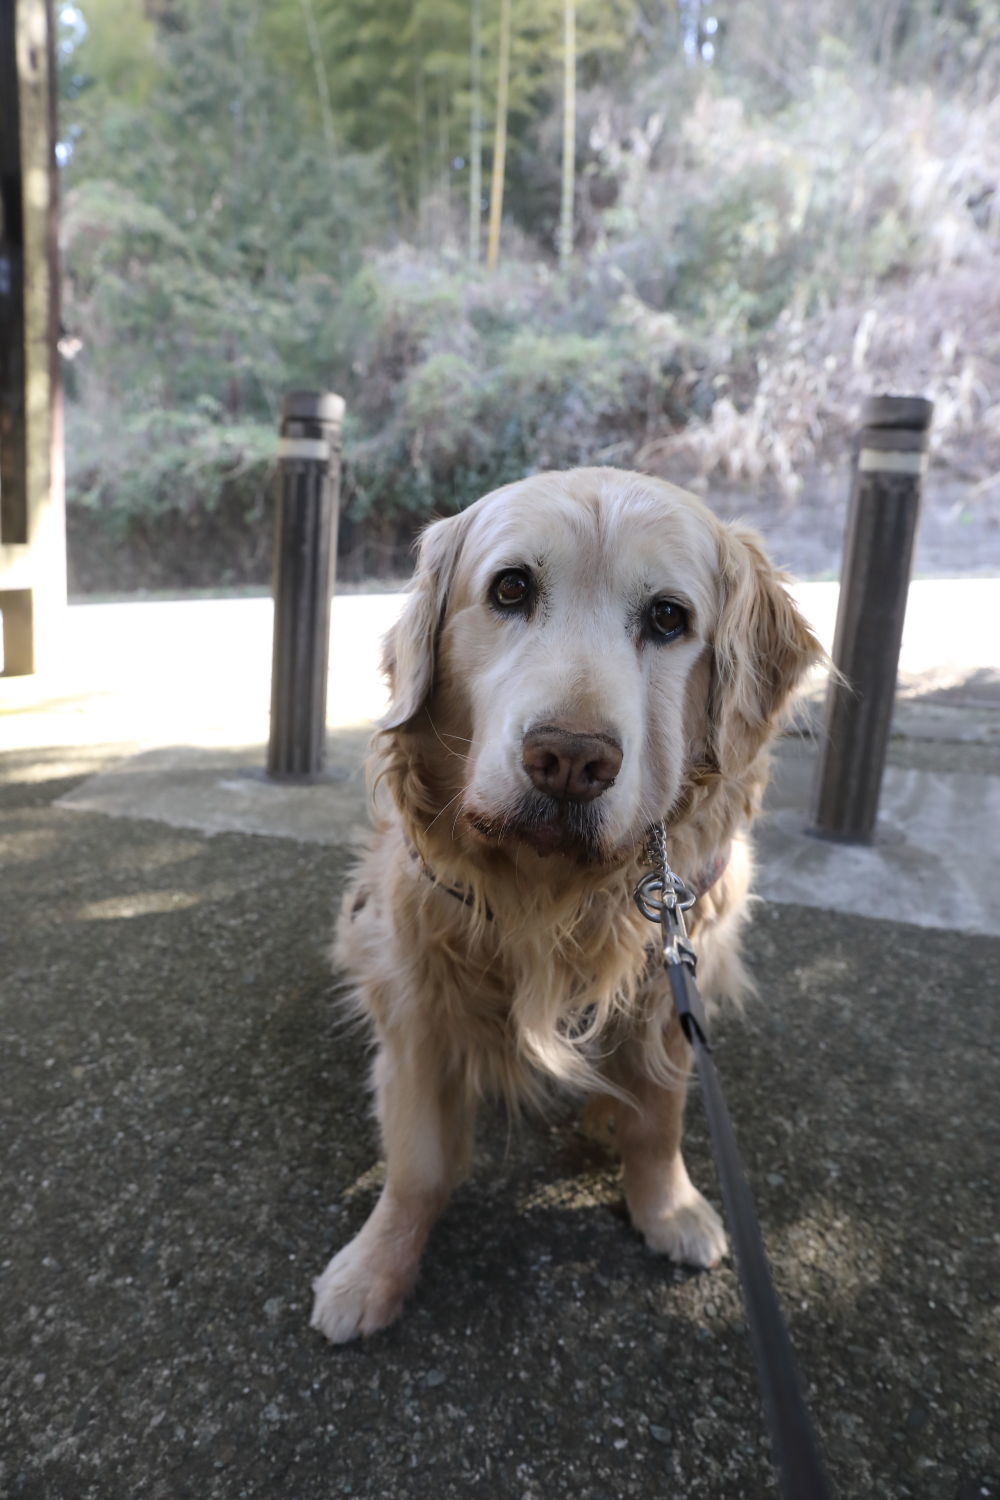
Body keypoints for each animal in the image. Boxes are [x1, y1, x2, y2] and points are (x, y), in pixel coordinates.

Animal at [313, 462, 821, 1344]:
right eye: (511, 588)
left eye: (668, 617)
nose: (571, 760)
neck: (558, 889)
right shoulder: (418, 995)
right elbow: (418, 1164)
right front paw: (375, 1268)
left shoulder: (668, 983)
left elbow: (659, 1118)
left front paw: (667, 1207)